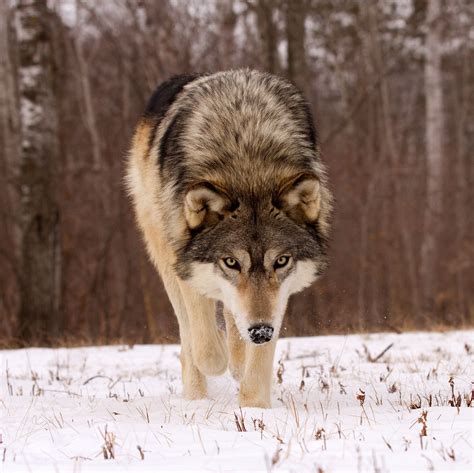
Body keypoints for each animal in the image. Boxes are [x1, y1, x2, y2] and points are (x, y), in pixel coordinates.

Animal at [128, 69, 332, 406]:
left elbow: (255, 363)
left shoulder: (278, 297)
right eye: (231, 262)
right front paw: (220, 356)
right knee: (190, 337)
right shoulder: (187, 264)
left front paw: (254, 408)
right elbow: (207, 351)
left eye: (281, 261)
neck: (247, 166)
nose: (260, 332)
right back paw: (197, 396)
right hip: (162, 250)